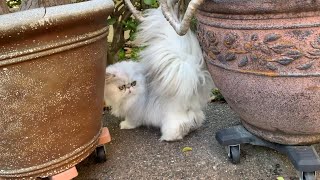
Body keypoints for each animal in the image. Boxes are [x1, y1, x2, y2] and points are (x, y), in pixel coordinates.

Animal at [105, 8, 214, 141]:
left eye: (133, 83)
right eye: (121, 87)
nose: (129, 88)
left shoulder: (134, 111)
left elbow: (132, 121)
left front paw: (125, 125)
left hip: (172, 115)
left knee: (180, 125)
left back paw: (169, 137)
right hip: (193, 110)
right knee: (196, 118)